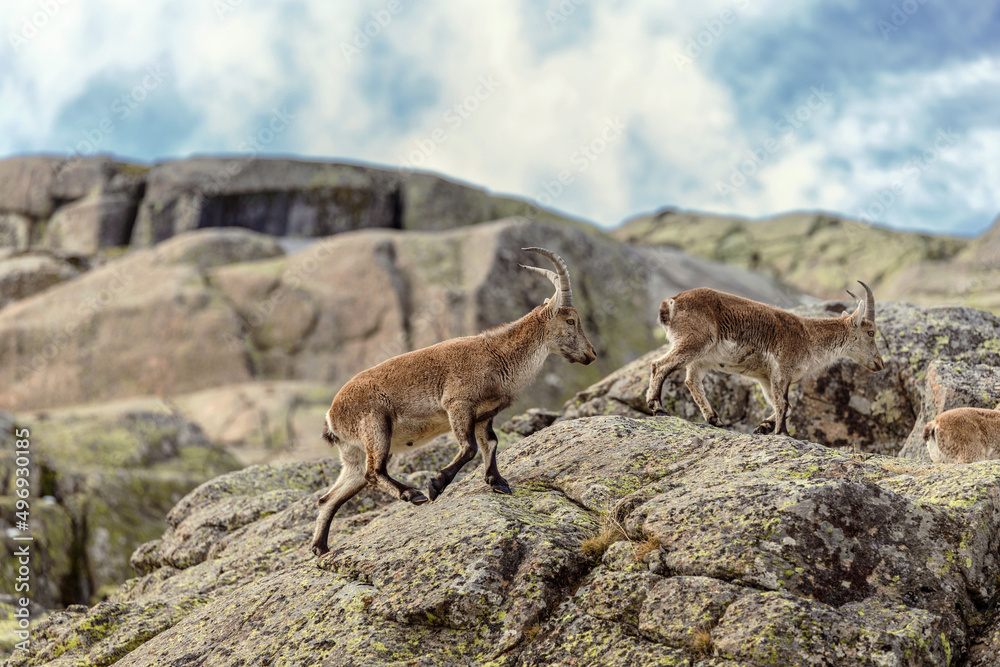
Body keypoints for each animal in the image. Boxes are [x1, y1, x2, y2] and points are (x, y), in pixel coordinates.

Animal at [310, 247, 597, 556]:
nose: (591, 354)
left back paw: (320, 547)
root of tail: (331, 416)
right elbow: (469, 447)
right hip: (375, 425)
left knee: (332, 496)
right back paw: (413, 494)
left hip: (352, 452)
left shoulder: (484, 415)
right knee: (373, 473)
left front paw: (498, 482)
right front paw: (437, 484)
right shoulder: (458, 404)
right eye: (570, 321)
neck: (499, 355)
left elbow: (490, 443)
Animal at [645, 281, 885, 436]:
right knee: (660, 365)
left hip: (701, 359)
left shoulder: (765, 379)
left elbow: (784, 405)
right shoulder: (781, 369)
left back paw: (715, 419)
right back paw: (658, 407)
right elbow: (783, 404)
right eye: (871, 332)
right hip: (694, 342)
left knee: (692, 381)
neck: (809, 336)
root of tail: (671, 303)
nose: (880, 364)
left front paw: (763, 427)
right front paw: (782, 432)